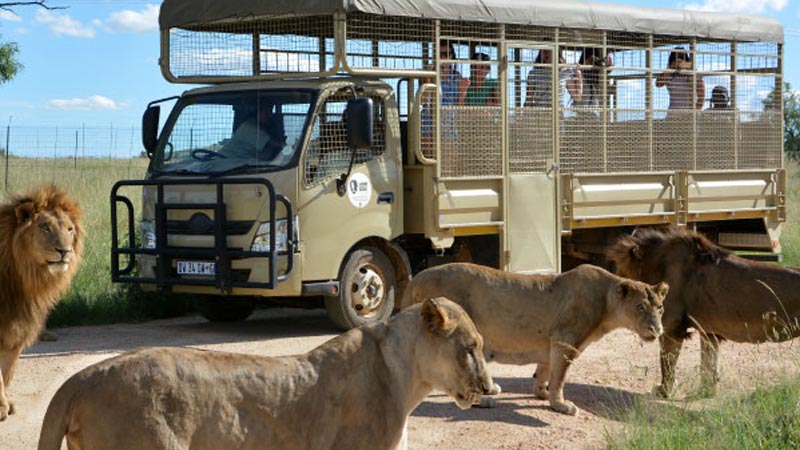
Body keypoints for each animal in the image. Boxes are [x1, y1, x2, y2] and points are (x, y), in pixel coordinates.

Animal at [0, 184, 83, 421]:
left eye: (69, 229)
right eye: (45, 227)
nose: (65, 251)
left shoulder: (18, 326)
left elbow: (8, 371)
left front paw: (7, 403)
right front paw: (0, 407)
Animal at [401, 263, 668, 415]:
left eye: (660, 308)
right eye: (640, 307)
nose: (657, 330)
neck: (607, 302)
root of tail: (414, 280)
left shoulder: (551, 342)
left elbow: (544, 370)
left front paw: (542, 393)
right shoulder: (565, 340)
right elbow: (559, 377)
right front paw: (561, 405)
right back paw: (485, 400)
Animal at [607, 227, 800, 398]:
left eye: (620, 271)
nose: (613, 294)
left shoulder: (671, 328)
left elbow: (667, 363)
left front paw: (664, 392)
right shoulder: (709, 332)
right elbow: (708, 365)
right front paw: (705, 392)